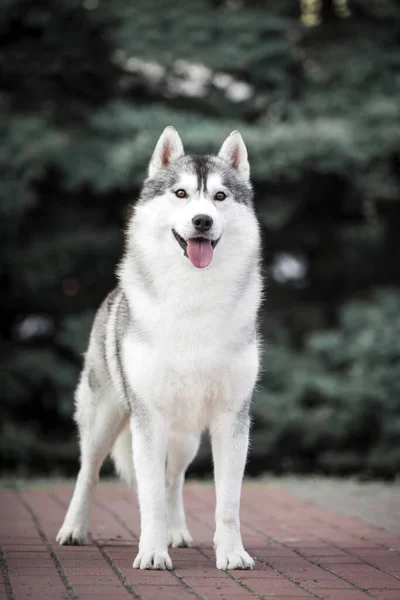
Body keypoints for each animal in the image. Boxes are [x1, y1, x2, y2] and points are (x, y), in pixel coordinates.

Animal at [56, 127, 262, 572]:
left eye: (220, 196)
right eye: (181, 194)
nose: (202, 221)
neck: (194, 298)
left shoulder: (232, 419)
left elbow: (228, 502)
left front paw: (232, 554)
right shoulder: (148, 419)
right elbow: (148, 498)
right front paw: (152, 553)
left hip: (186, 438)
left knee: (173, 480)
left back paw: (177, 532)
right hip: (105, 418)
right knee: (88, 472)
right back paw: (74, 529)